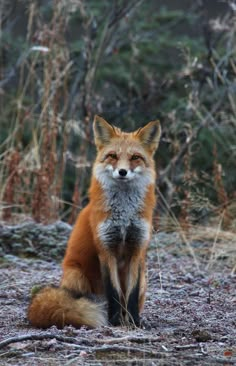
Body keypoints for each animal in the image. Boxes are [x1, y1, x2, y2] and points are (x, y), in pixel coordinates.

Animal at [27, 116, 160, 328]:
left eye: (135, 157)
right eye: (113, 156)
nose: (122, 172)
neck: (124, 216)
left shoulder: (137, 250)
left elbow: (129, 295)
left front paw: (133, 322)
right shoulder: (105, 249)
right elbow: (113, 292)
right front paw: (115, 322)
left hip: (144, 279)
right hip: (76, 275)